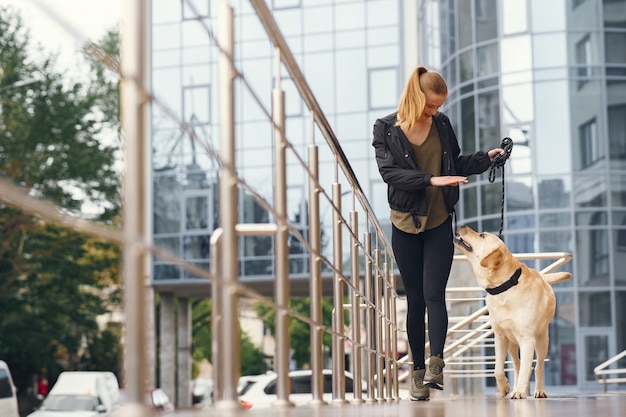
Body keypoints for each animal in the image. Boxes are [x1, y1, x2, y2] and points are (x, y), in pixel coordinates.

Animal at [450, 226, 568, 398]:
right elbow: (498, 369)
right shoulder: (500, 337)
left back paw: (538, 390)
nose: (462, 226)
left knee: (538, 367)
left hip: (542, 341)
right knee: (517, 365)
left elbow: (527, 368)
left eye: (482, 235)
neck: (506, 286)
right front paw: (504, 387)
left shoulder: (528, 340)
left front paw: (519, 392)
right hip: (512, 344)